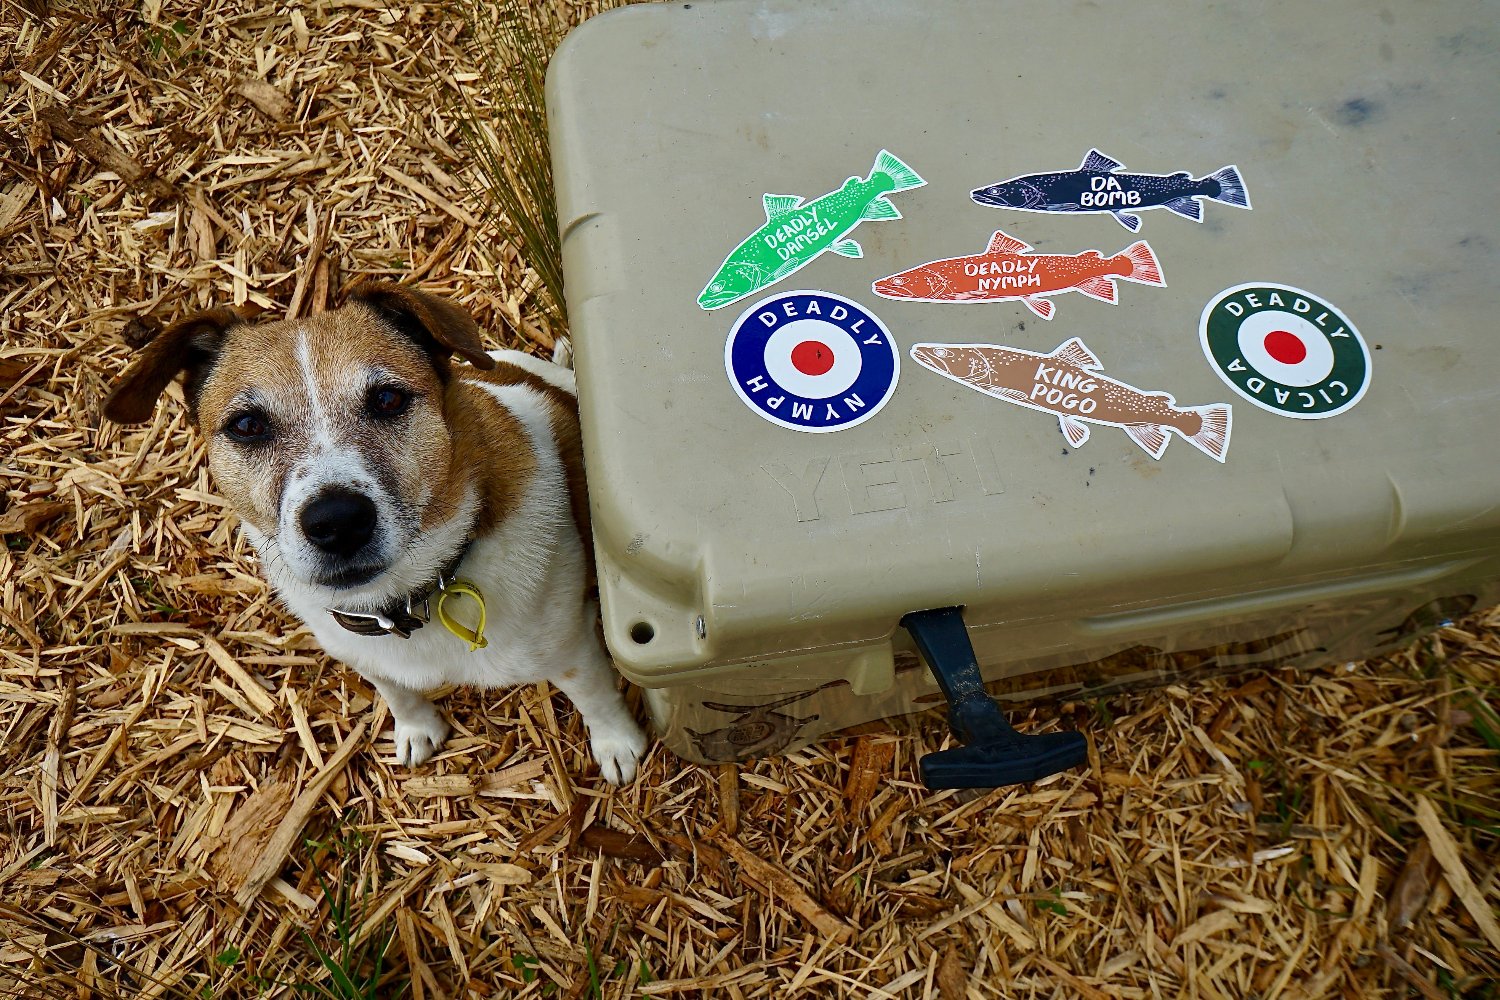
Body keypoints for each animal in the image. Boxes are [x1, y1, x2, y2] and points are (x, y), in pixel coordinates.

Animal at [98, 281, 651, 779]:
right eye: (247, 426)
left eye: (387, 398)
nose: (337, 522)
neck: (408, 604)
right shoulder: (360, 651)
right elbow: (394, 689)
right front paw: (416, 727)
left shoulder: (572, 648)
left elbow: (596, 697)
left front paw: (617, 744)